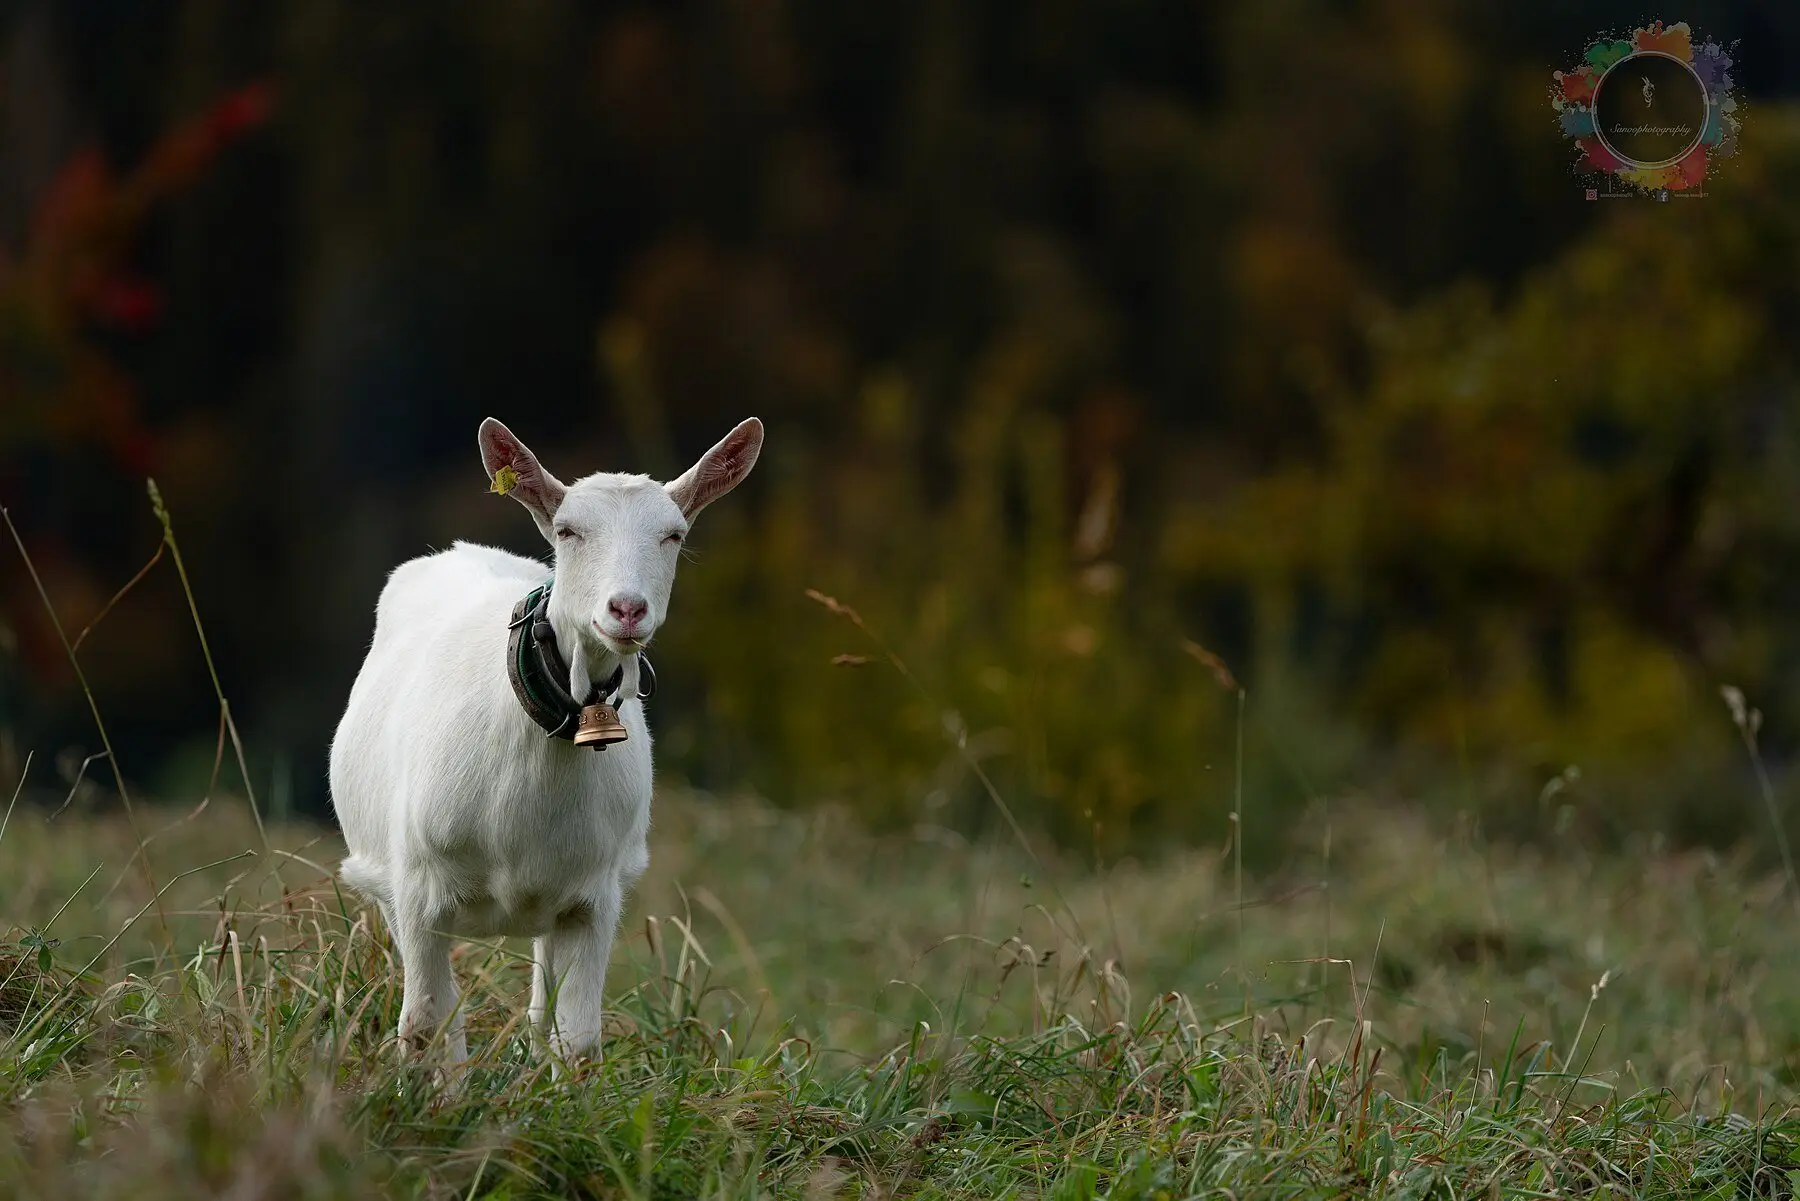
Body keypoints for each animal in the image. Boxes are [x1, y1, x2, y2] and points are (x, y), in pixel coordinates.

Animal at [329, 416, 763, 1067]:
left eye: (673, 534)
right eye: (567, 529)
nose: (627, 608)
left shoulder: (594, 898)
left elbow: (576, 1039)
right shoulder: (418, 889)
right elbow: (426, 1026)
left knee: (538, 1009)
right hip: (383, 876)